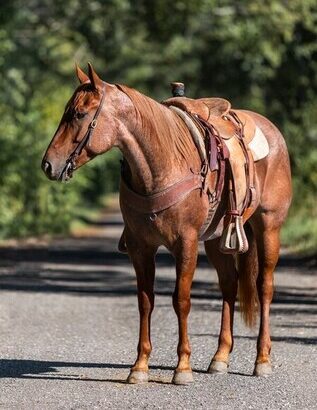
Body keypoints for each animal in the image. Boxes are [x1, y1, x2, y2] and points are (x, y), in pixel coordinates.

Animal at [42, 64, 292, 384]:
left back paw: (262, 359)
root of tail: (272, 132)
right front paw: (139, 367)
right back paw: (220, 358)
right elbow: (145, 301)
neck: (163, 165)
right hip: (216, 241)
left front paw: (182, 367)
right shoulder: (141, 247)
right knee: (229, 285)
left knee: (264, 286)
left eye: (79, 114)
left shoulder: (185, 244)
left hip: (269, 227)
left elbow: (181, 300)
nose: (48, 165)